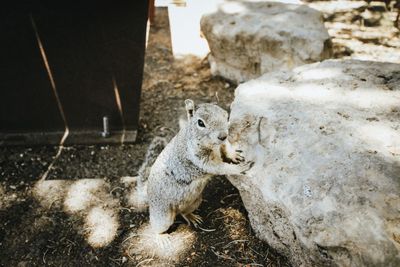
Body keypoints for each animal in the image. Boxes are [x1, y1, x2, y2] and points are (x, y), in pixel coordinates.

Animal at [133, 100, 255, 234]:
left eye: (226, 115)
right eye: (200, 123)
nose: (223, 136)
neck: (212, 145)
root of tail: (148, 194)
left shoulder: (222, 144)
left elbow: (226, 147)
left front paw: (234, 154)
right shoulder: (198, 158)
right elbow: (219, 167)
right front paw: (239, 168)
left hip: (195, 201)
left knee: (183, 212)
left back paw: (191, 217)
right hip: (162, 216)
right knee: (158, 227)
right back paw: (160, 236)